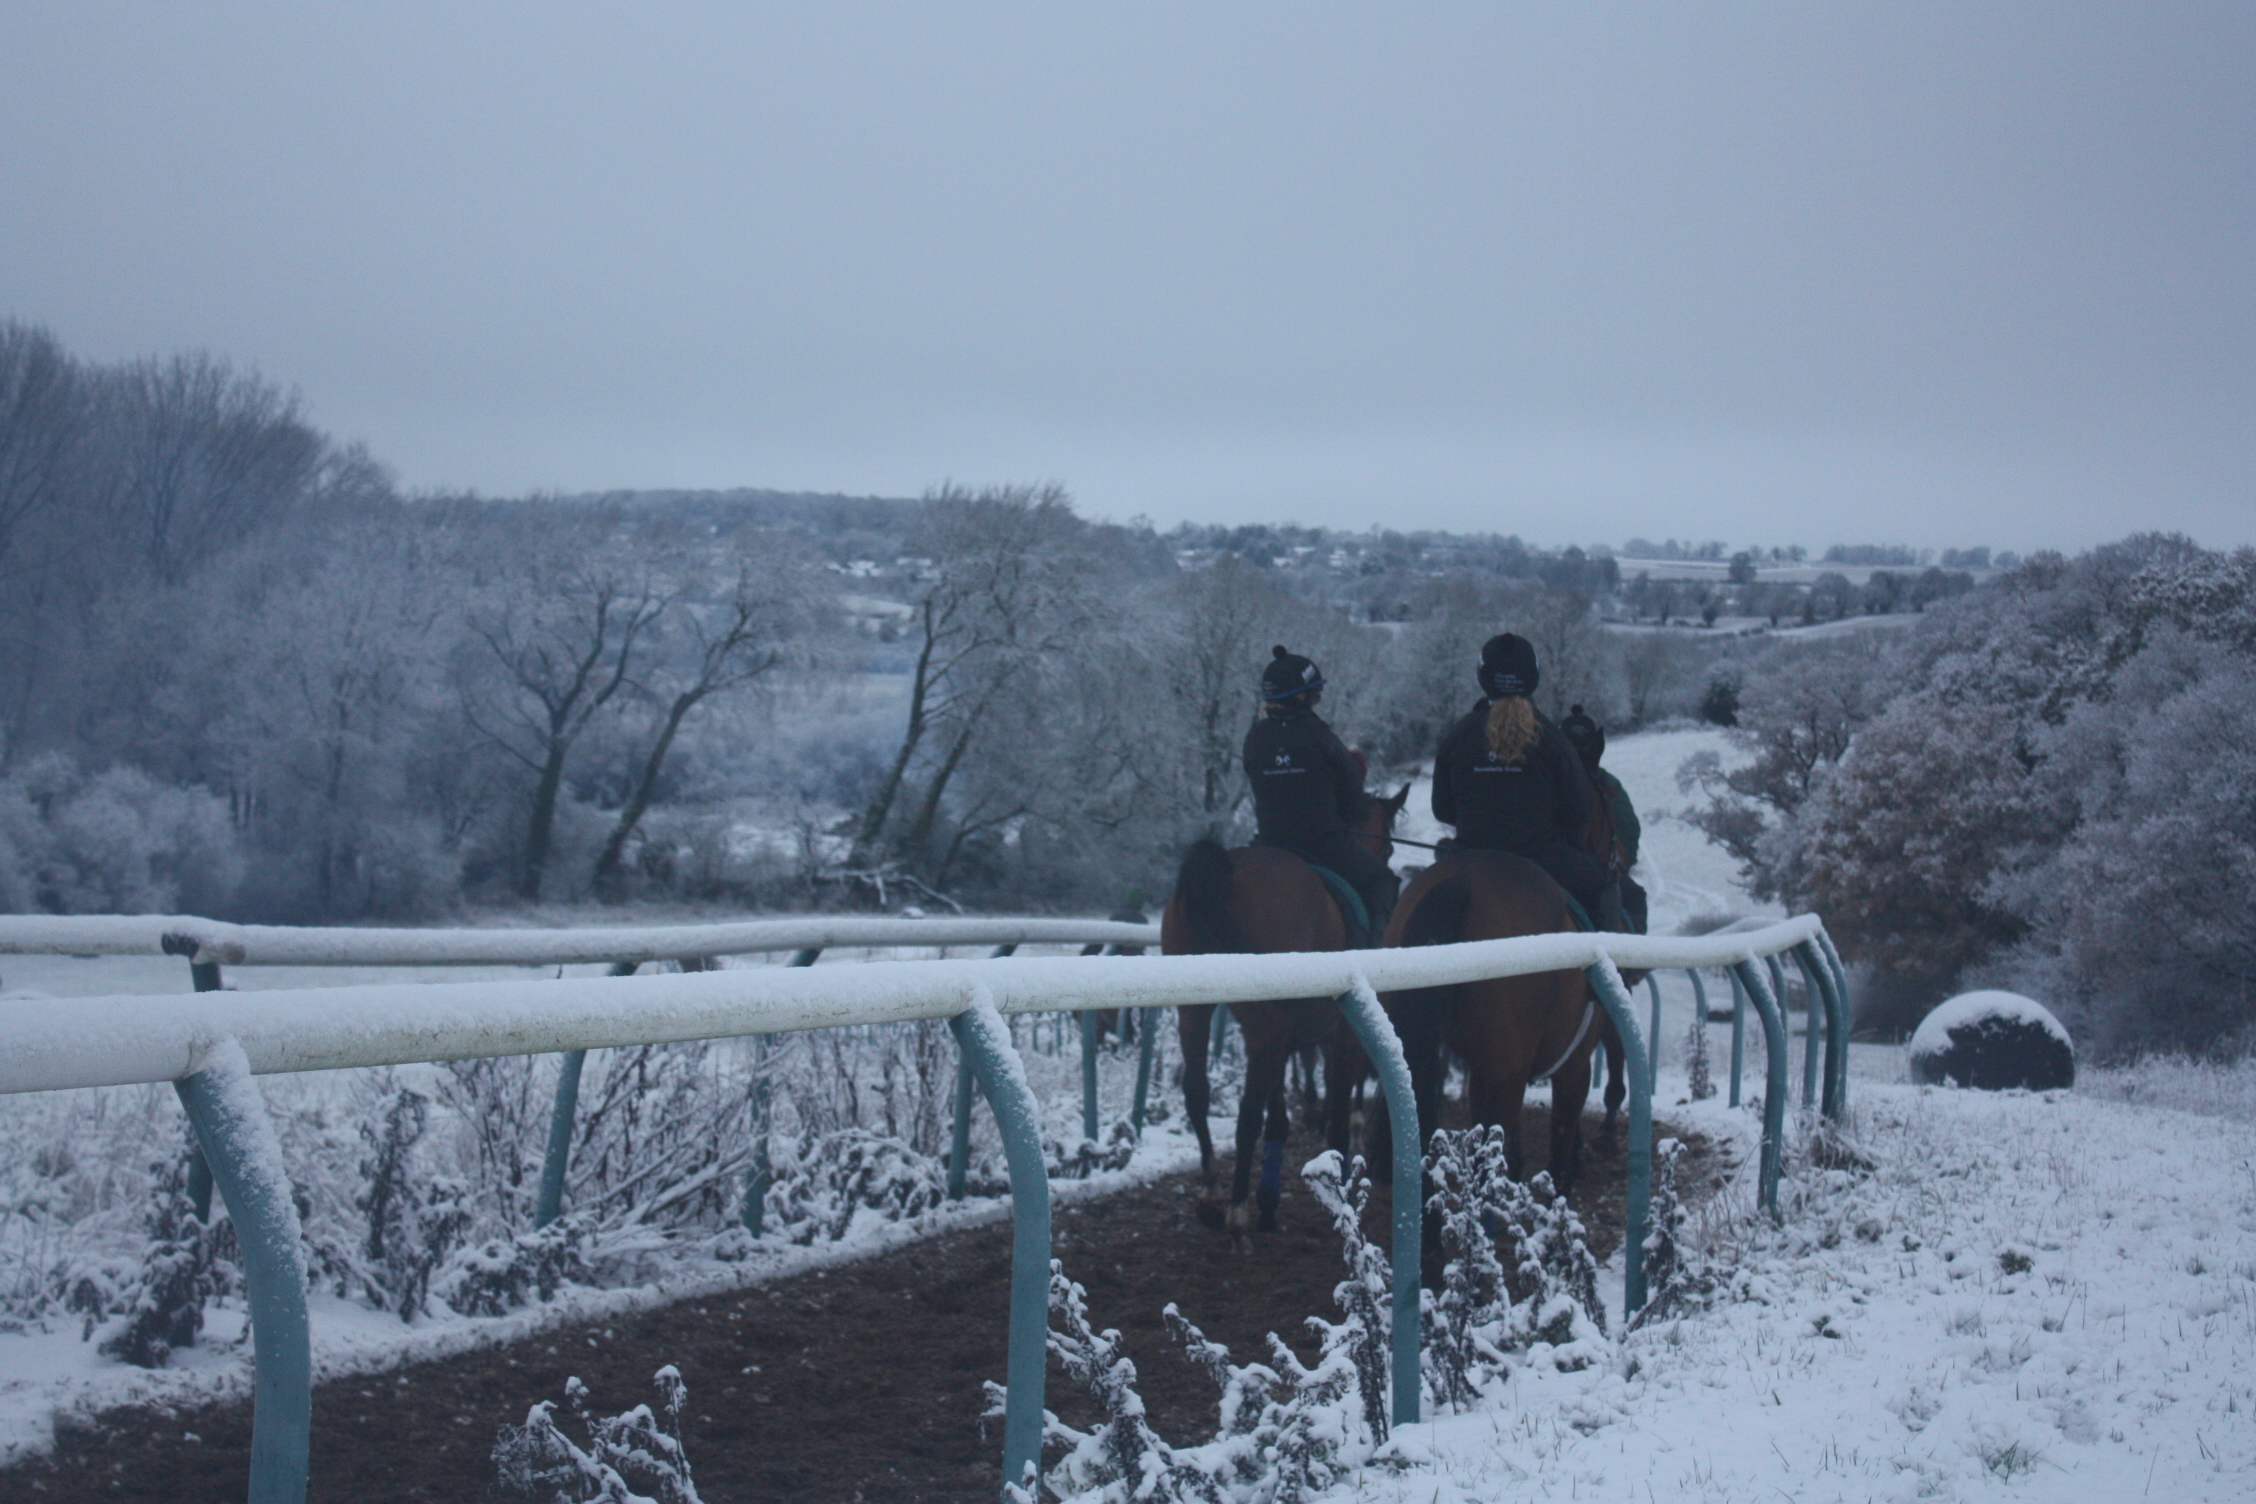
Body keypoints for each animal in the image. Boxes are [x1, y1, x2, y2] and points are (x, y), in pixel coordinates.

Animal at [1164, 784, 1407, 1244]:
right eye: (1385, 843)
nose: (1385, 854)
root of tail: (1226, 870)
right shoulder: (1339, 1038)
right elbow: (1335, 1116)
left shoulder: (1284, 1040)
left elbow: (1279, 1118)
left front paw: (1270, 1202)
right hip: (1264, 1027)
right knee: (1247, 1111)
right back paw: (1237, 1211)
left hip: (1196, 1011)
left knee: (1197, 1091)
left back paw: (1213, 1193)